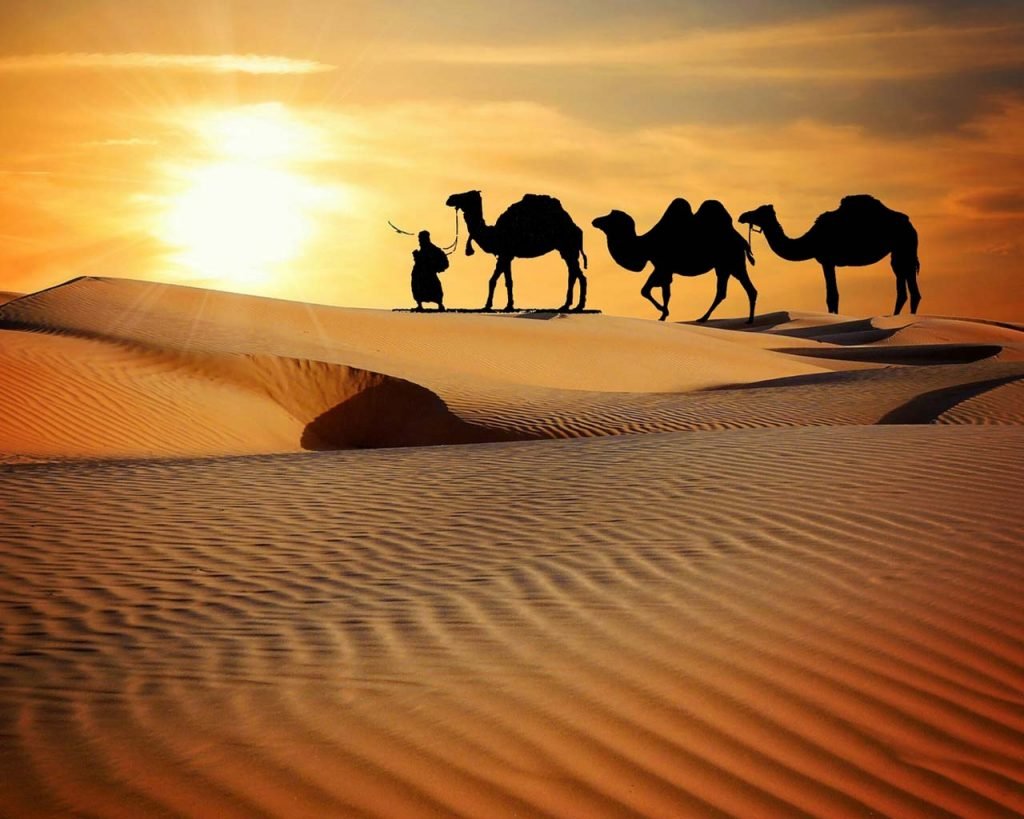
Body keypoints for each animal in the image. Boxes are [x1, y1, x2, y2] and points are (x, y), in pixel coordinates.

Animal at [445, 190, 588, 312]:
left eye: (466, 195)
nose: (450, 198)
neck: (494, 234)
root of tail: (577, 229)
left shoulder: (505, 254)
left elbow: (493, 280)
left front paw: (488, 306)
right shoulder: (507, 256)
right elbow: (507, 281)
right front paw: (508, 305)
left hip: (568, 248)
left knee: (579, 275)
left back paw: (577, 306)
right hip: (567, 250)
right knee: (573, 274)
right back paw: (568, 305)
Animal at [591, 198, 757, 322]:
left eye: (610, 217)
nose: (595, 220)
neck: (646, 245)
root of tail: (742, 241)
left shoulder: (662, 266)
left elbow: (647, 290)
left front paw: (663, 312)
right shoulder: (665, 269)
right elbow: (663, 292)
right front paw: (664, 314)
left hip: (732, 263)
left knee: (741, 289)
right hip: (724, 266)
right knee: (727, 291)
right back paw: (708, 318)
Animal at [738, 195, 921, 315]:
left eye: (759, 212)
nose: (742, 216)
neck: (812, 239)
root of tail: (910, 225)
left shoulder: (827, 260)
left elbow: (832, 296)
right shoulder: (827, 261)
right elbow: (832, 296)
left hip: (904, 246)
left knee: (910, 288)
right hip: (900, 251)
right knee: (905, 287)